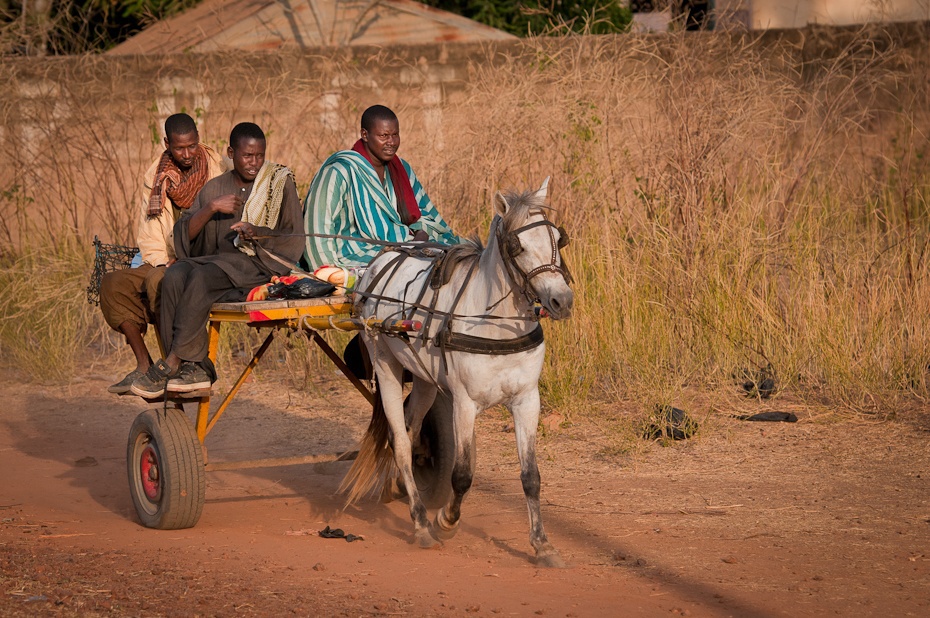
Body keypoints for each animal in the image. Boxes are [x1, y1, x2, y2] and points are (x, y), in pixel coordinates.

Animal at [342, 177, 572, 564]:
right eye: (518, 246)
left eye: (558, 238)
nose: (562, 300)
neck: (495, 323)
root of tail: (381, 258)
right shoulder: (465, 403)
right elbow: (462, 474)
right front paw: (446, 520)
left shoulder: (527, 400)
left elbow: (531, 476)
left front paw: (541, 543)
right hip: (385, 364)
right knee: (399, 441)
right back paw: (421, 523)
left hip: (423, 379)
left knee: (412, 430)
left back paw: (401, 486)